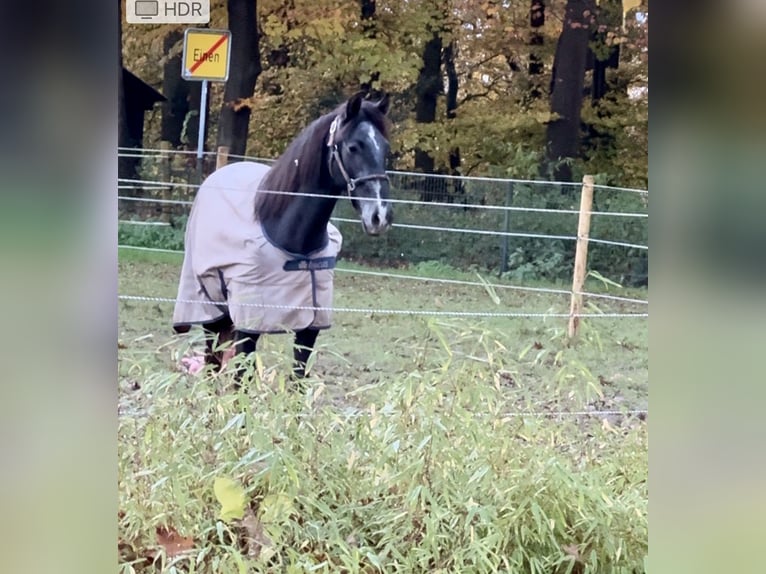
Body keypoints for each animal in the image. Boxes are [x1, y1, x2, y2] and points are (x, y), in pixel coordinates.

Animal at [172, 93, 392, 382]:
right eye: (354, 147)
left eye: (387, 149)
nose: (380, 216)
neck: (292, 239)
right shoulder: (249, 326)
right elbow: (241, 381)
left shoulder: (309, 328)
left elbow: (297, 380)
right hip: (210, 309)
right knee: (211, 363)